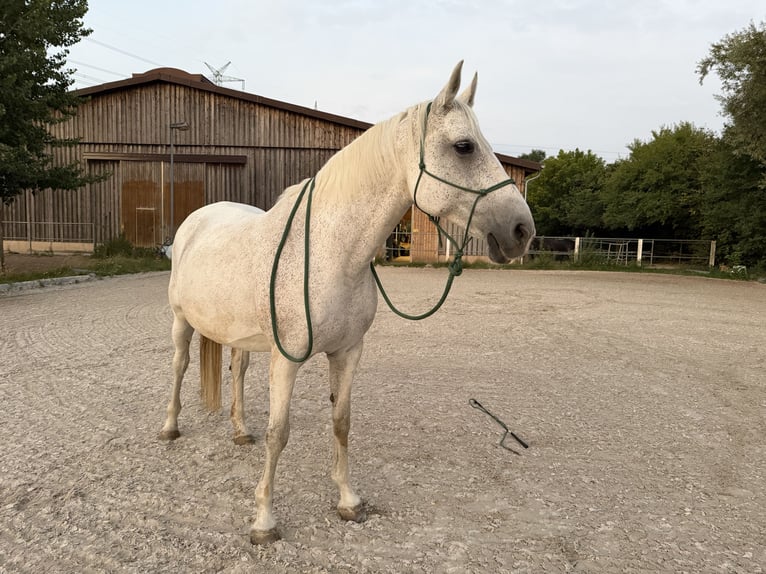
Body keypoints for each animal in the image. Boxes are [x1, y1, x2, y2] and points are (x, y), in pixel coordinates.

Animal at [159, 61, 535, 545]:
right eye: (464, 147)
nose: (522, 231)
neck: (331, 252)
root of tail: (198, 218)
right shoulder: (287, 359)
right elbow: (279, 433)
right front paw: (264, 520)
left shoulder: (348, 351)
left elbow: (341, 422)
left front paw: (348, 501)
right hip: (181, 323)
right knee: (180, 366)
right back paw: (170, 427)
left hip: (239, 333)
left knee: (237, 370)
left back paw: (240, 431)